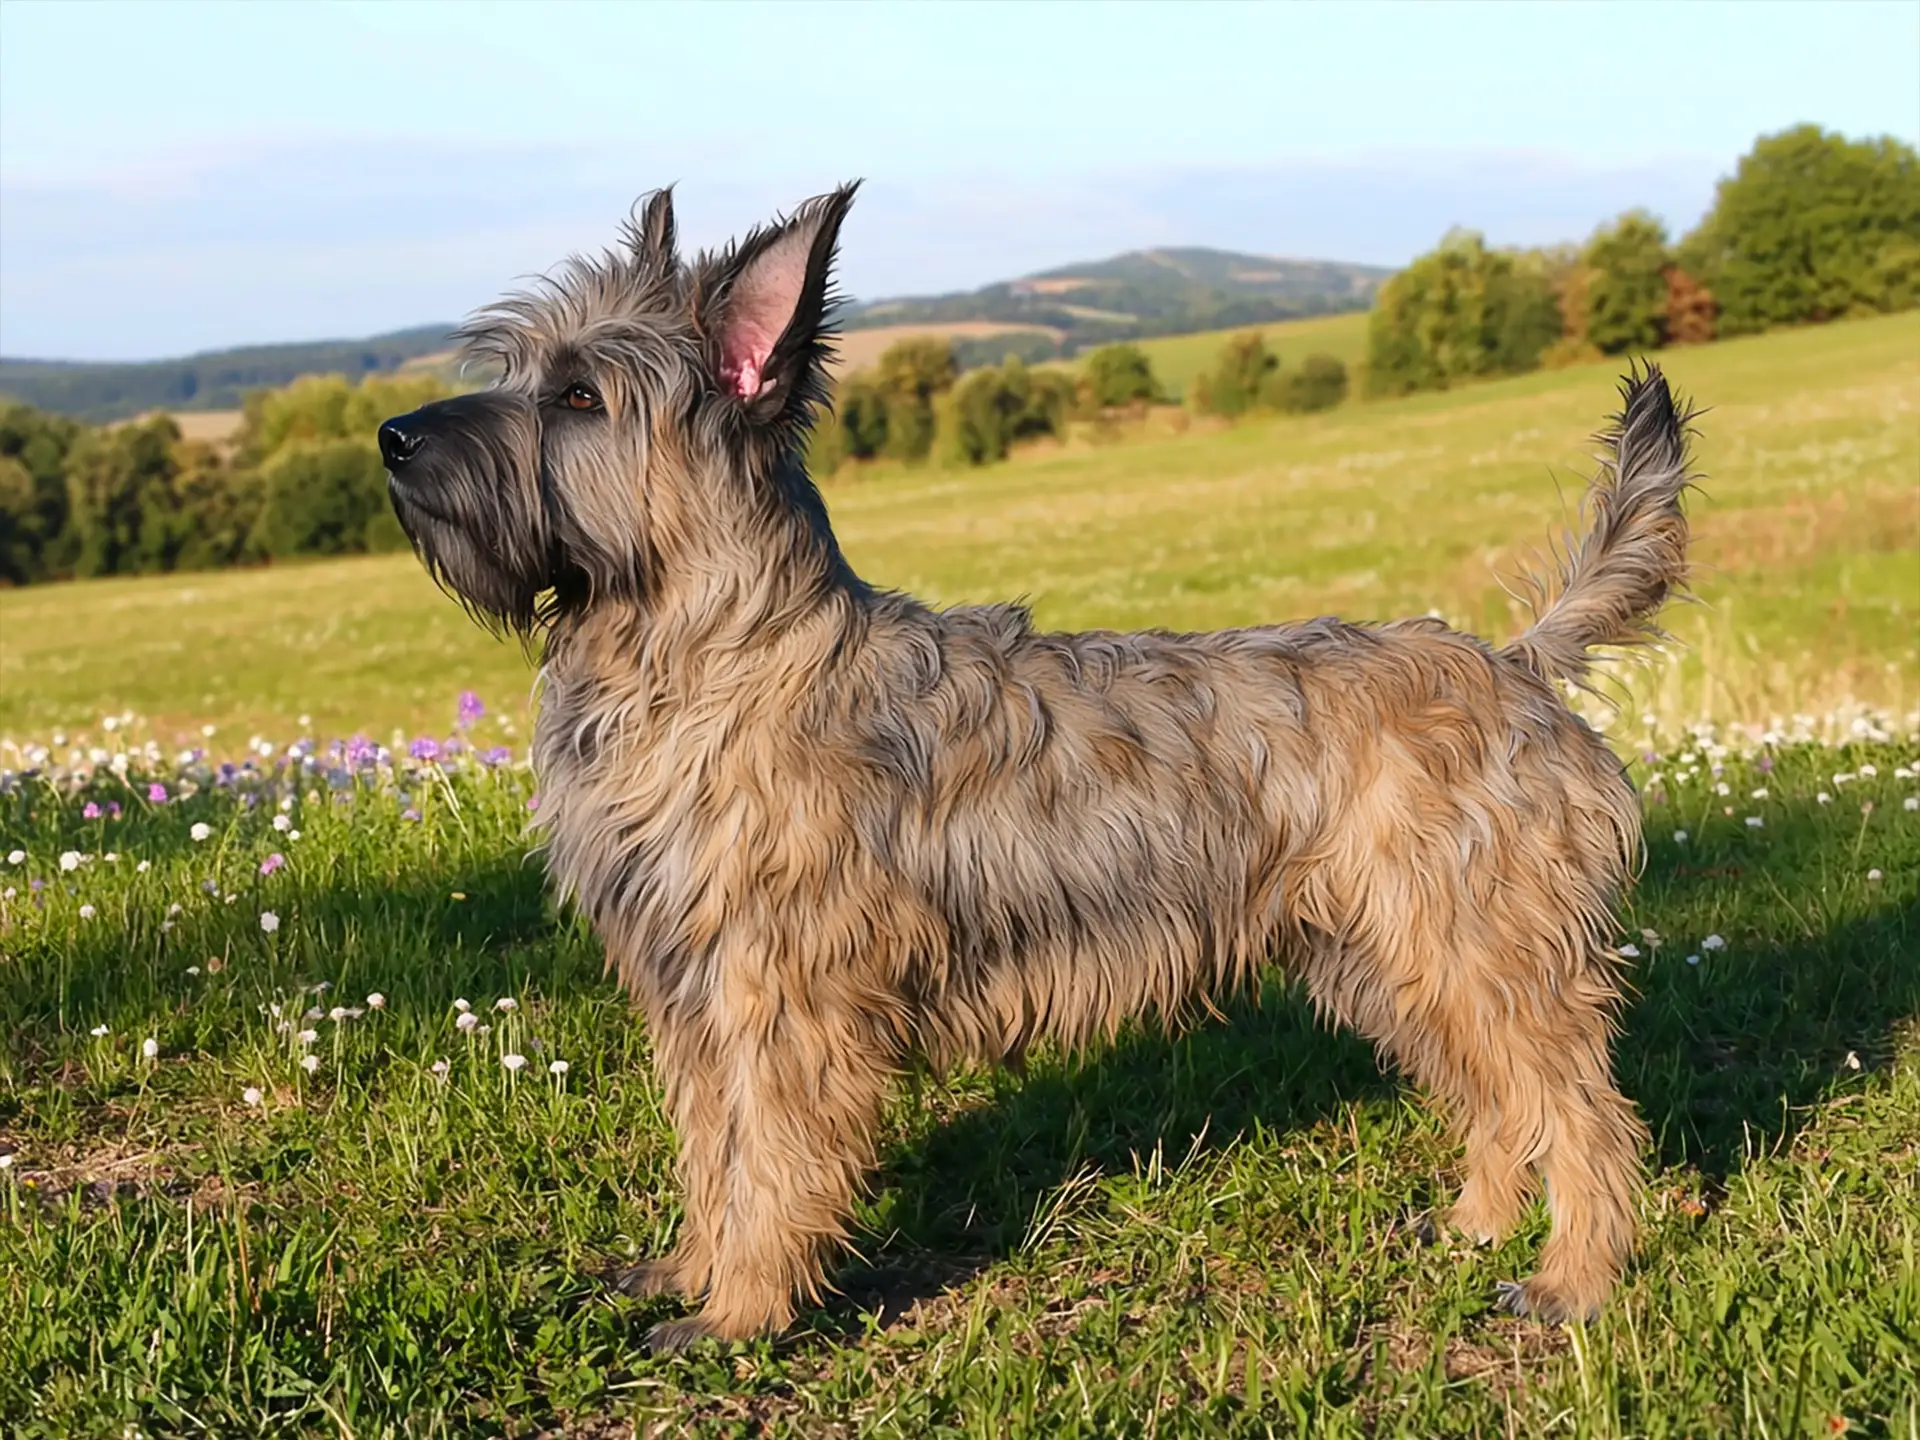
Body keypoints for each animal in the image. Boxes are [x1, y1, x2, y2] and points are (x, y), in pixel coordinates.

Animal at [378, 183, 1697, 1351]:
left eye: (578, 395)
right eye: (515, 368)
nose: (392, 437)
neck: (705, 654)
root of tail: (1518, 664)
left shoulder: (776, 997)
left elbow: (769, 1158)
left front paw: (740, 1313)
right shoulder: (692, 992)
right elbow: (712, 1150)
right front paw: (690, 1271)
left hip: (1478, 950)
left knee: (1579, 1109)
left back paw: (1576, 1277)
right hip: (1390, 959)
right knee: (1497, 1097)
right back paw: (1479, 1222)